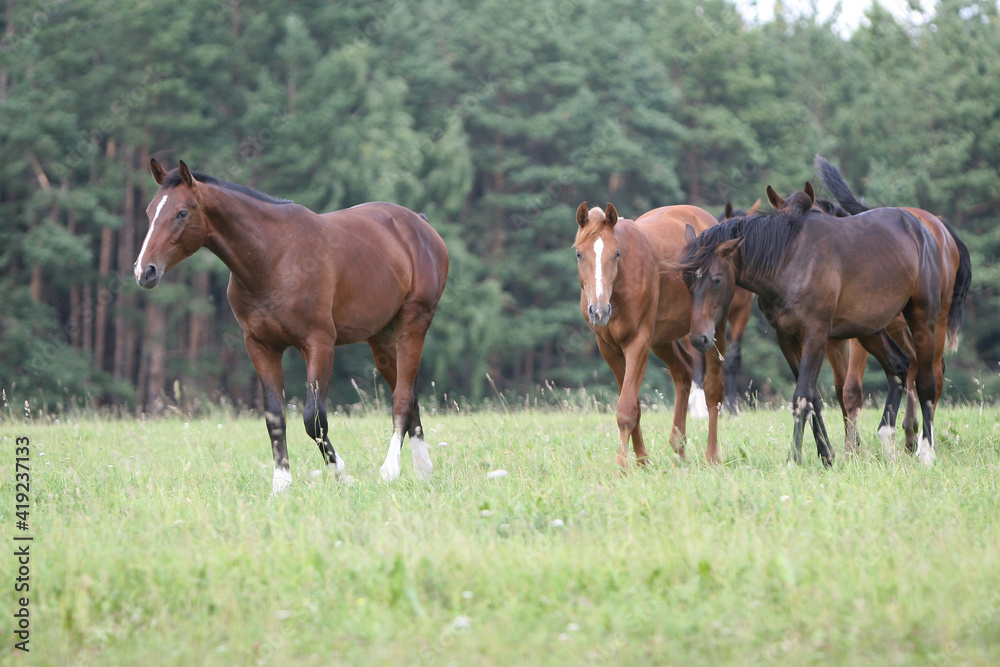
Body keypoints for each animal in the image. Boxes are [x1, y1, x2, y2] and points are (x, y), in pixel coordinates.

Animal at [134, 159, 449, 493]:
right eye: (150, 211)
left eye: (182, 213)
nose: (144, 271)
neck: (274, 258)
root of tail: (420, 225)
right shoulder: (261, 346)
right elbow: (275, 416)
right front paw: (281, 483)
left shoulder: (319, 345)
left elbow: (314, 419)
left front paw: (342, 474)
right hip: (381, 337)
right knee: (409, 394)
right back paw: (423, 469)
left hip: (413, 323)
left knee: (401, 398)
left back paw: (391, 469)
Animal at [574, 202, 726, 468]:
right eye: (580, 254)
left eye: (616, 253)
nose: (599, 311)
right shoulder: (608, 347)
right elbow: (633, 403)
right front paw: (642, 460)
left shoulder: (638, 342)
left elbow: (626, 409)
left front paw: (622, 467)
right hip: (663, 339)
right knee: (683, 372)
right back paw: (679, 449)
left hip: (714, 329)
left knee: (712, 391)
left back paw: (711, 456)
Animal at [679, 184, 943, 466]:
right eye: (686, 279)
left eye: (717, 279)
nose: (699, 338)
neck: (789, 260)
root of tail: (920, 227)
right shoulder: (787, 338)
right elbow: (813, 397)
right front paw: (826, 455)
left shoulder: (815, 335)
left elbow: (802, 395)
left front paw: (793, 460)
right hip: (870, 329)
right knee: (898, 366)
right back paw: (887, 440)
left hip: (922, 320)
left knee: (925, 380)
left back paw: (926, 452)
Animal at [814, 156, 972, 454]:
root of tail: (941, 227)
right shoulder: (830, 339)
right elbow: (840, 389)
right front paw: (851, 446)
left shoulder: (861, 335)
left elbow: (851, 388)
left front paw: (852, 451)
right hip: (900, 325)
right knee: (914, 363)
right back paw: (910, 434)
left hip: (934, 320)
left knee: (934, 372)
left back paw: (923, 441)